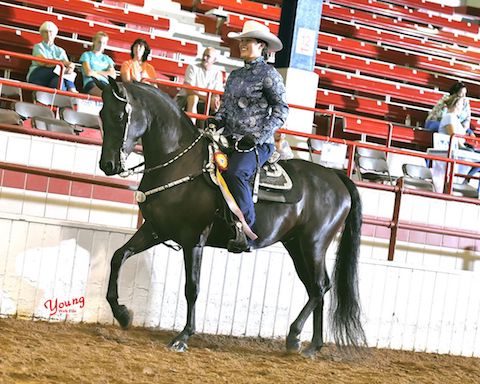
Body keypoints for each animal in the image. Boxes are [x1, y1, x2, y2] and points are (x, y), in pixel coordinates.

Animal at [95, 78, 366, 356]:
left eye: (119, 115)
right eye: (101, 114)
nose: (107, 165)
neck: (179, 162)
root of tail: (337, 177)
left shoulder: (194, 239)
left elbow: (192, 287)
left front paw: (183, 336)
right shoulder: (155, 229)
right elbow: (118, 257)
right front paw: (123, 314)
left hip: (314, 244)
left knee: (321, 286)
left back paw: (298, 337)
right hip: (296, 246)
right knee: (315, 288)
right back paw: (310, 344)